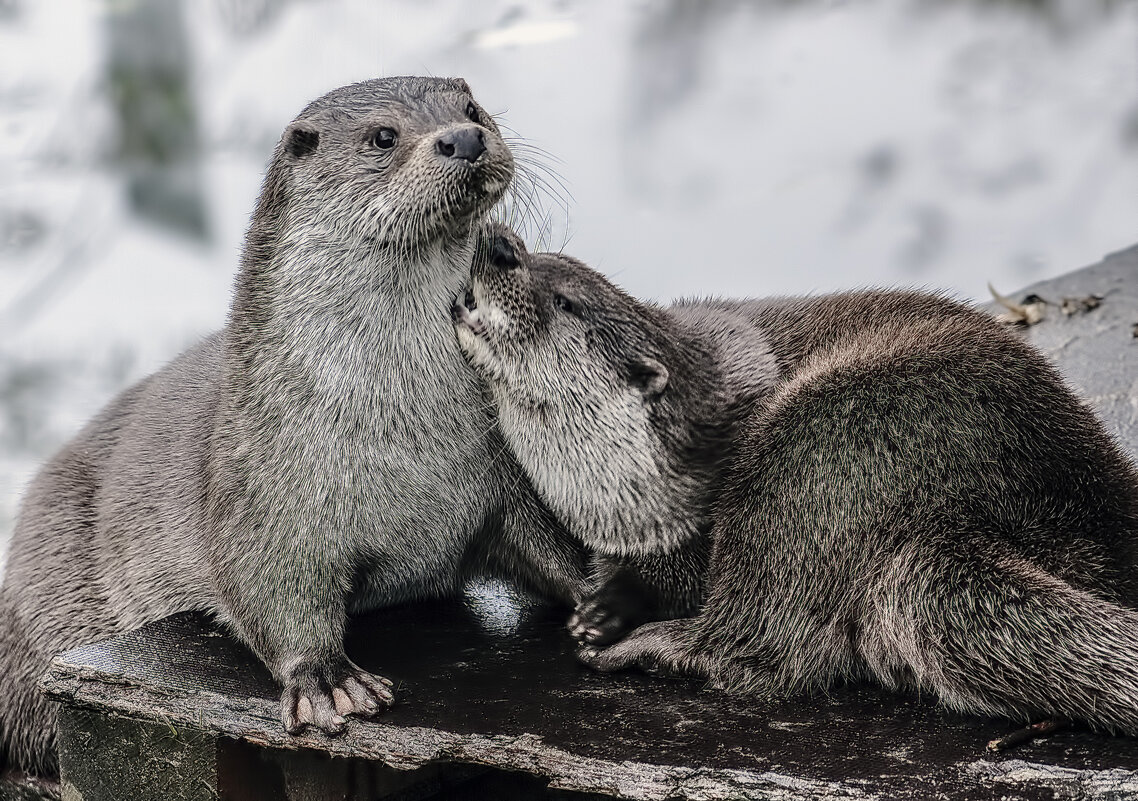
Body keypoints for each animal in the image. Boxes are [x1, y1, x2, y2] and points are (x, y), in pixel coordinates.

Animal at [0, 78, 587, 778]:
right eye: (382, 137)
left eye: (471, 110)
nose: (466, 138)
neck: (402, 434)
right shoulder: (260, 482)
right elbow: (266, 581)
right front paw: (326, 680)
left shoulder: (502, 471)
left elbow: (548, 538)